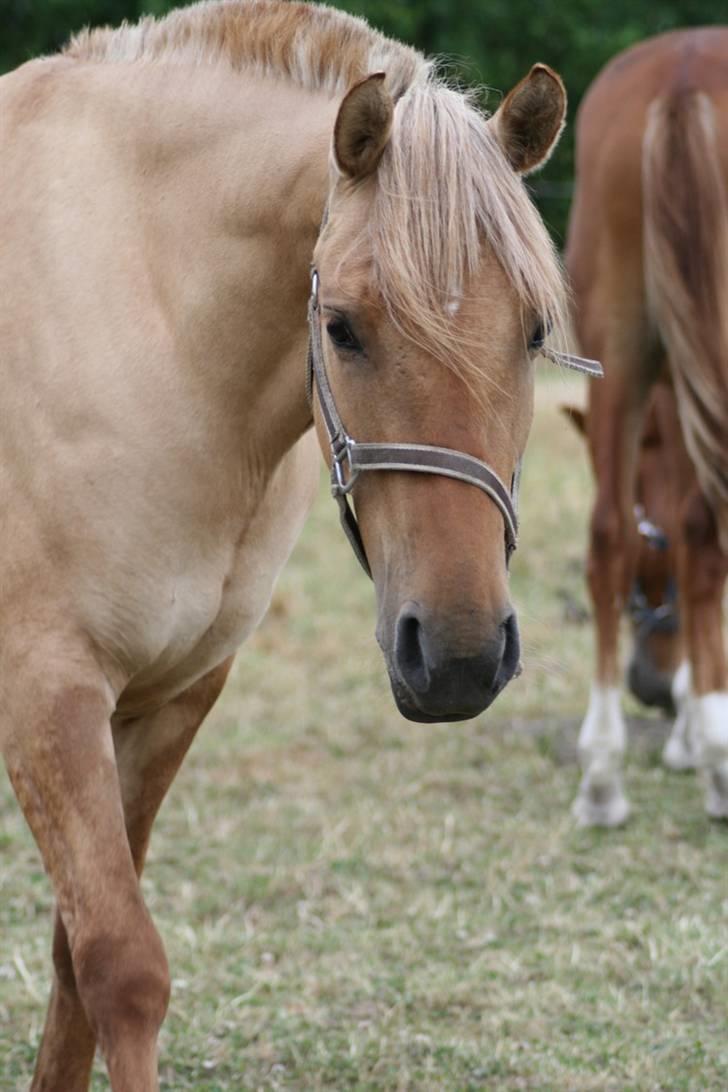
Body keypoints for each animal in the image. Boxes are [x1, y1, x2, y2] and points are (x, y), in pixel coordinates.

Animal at [0, 4, 567, 1087]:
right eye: (340, 328)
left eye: (532, 329)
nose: (459, 658)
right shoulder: (45, 693)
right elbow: (121, 965)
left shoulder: (171, 696)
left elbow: (71, 960)